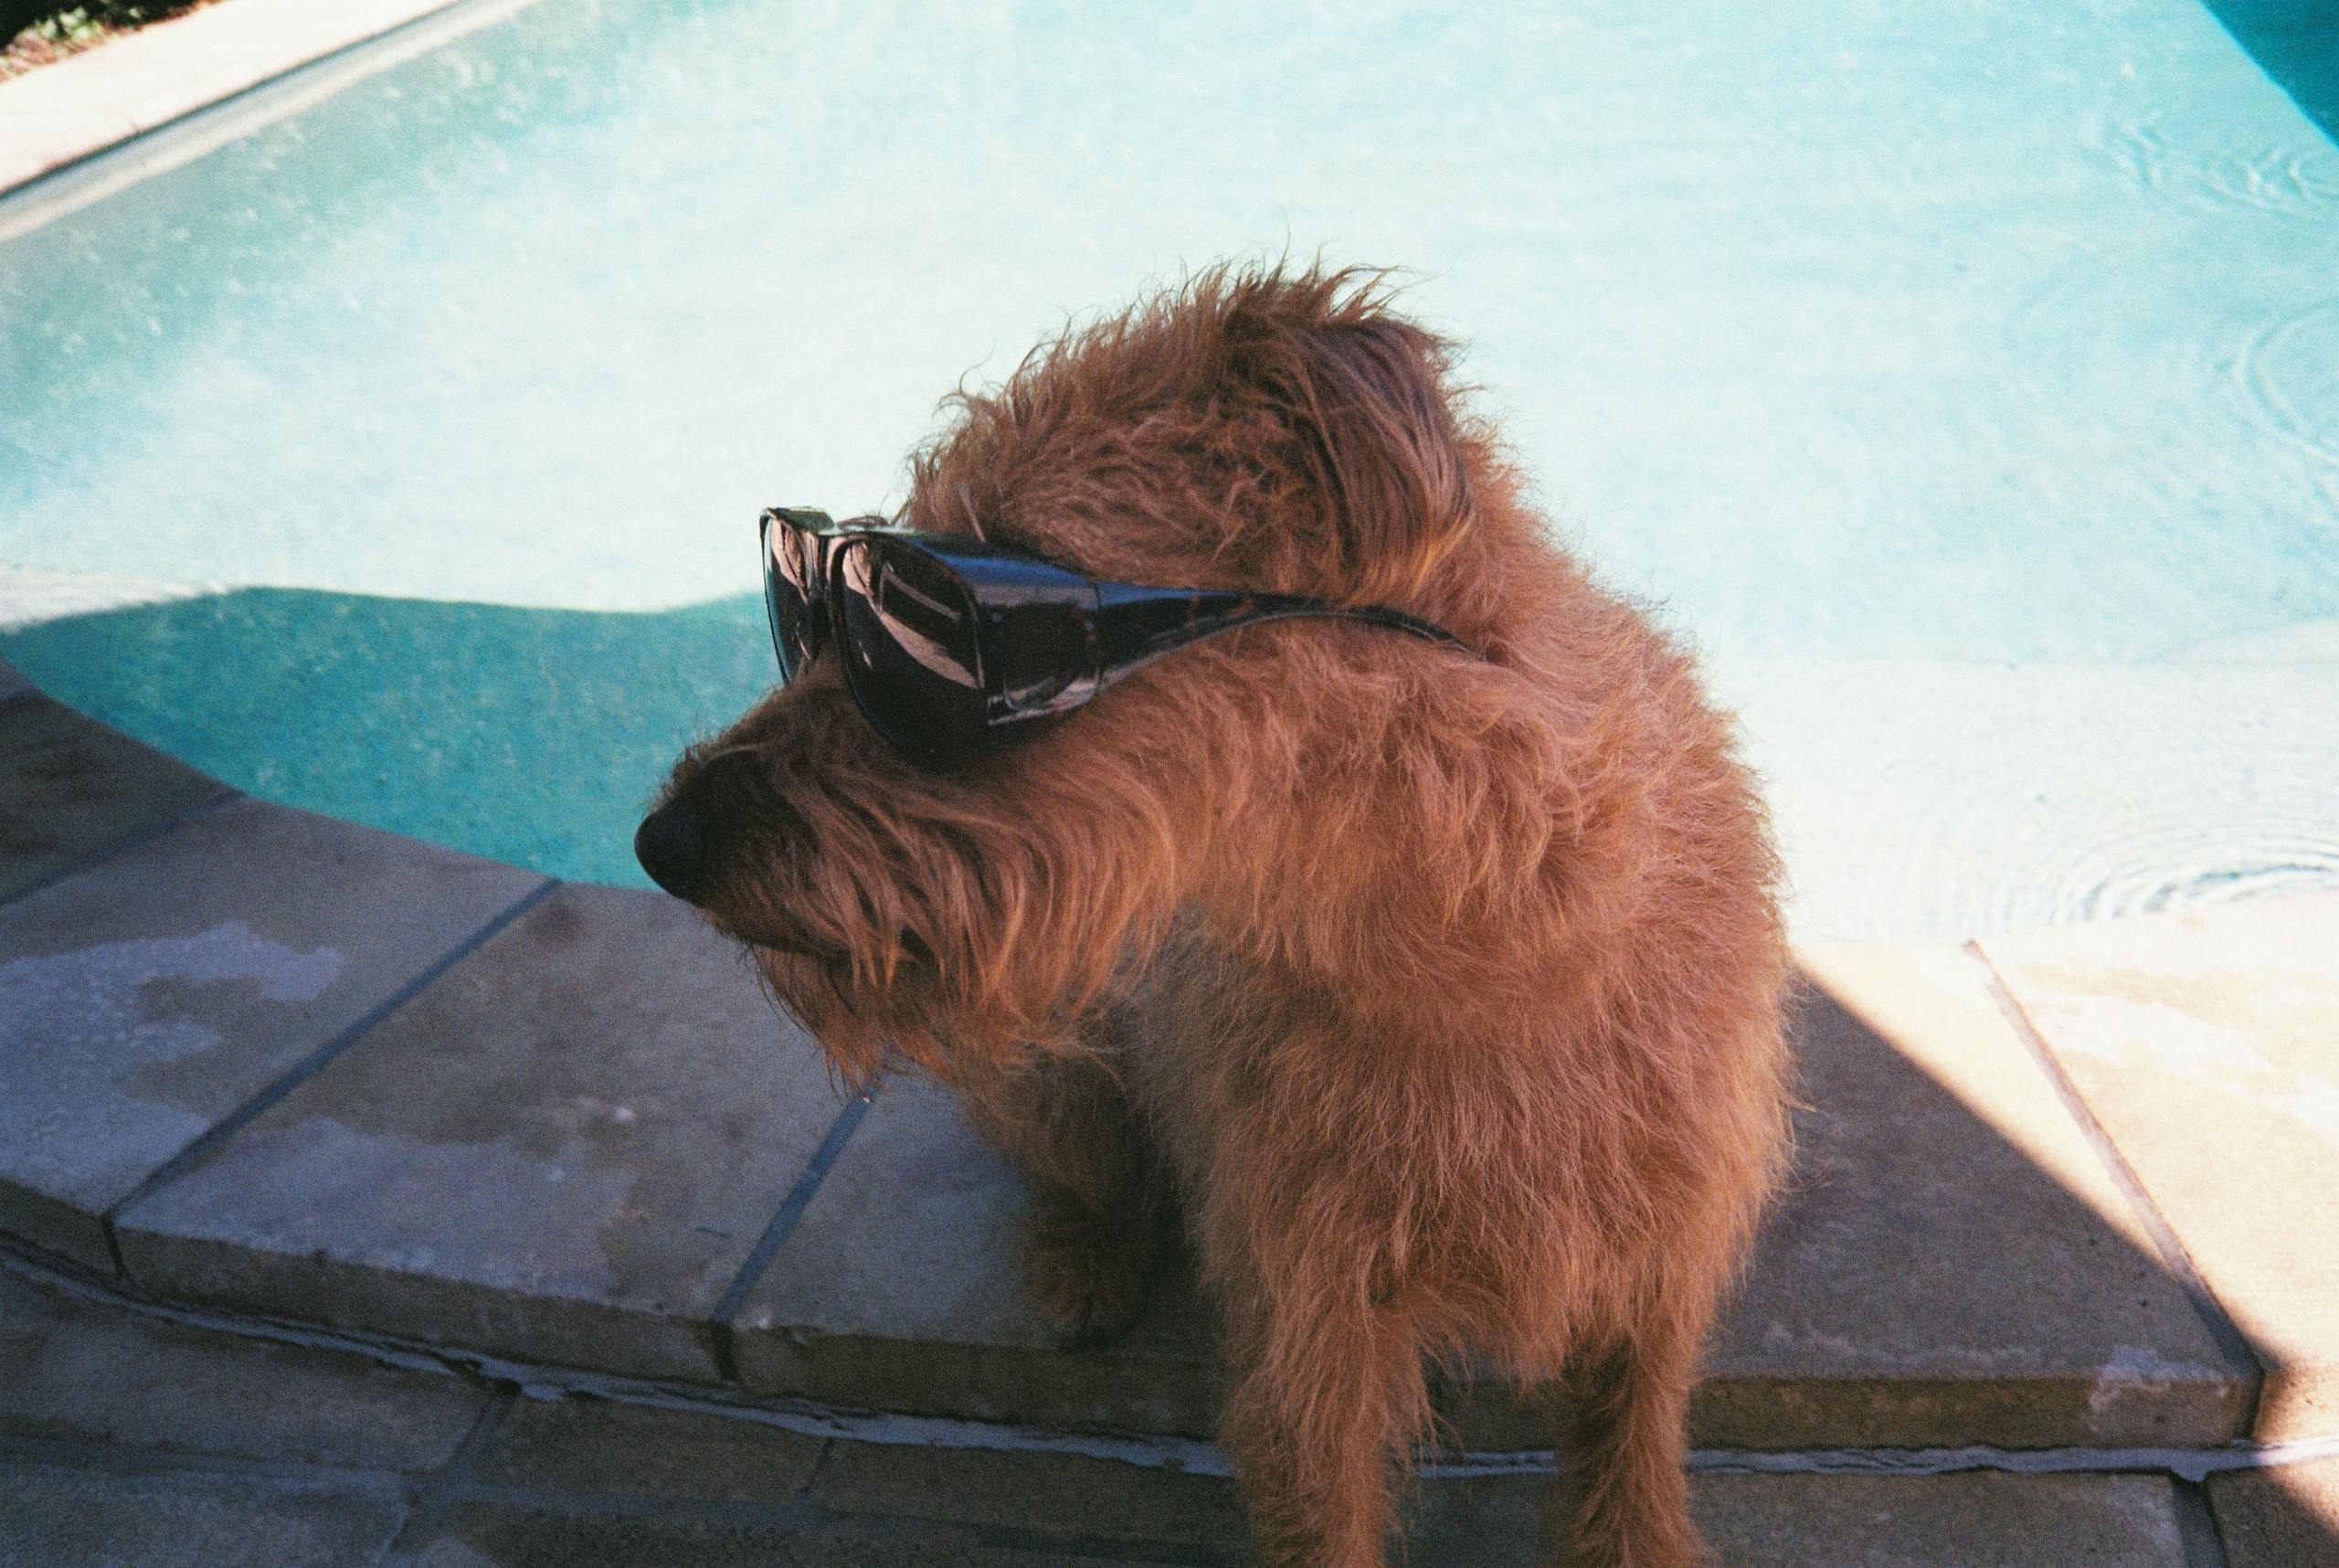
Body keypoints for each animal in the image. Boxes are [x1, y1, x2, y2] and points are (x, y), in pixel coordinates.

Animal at [640, 270, 1786, 1568]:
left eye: (923, 627)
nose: (661, 843)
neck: (1484, 957)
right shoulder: (1312, 1326)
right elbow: (1320, 1509)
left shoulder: (1653, 1286)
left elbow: (1628, 1472)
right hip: (1050, 1071)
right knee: (1090, 1171)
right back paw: (1088, 1258)